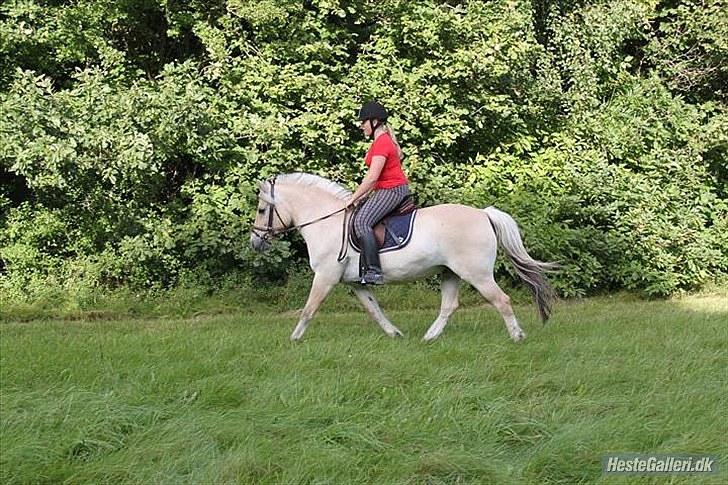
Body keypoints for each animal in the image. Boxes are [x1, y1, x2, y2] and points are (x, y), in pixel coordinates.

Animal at [252, 172, 556, 342]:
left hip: (476, 274)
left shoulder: (325, 277)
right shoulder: (356, 283)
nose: (255, 242)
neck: (327, 222)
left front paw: (294, 338)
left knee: (501, 300)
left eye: (261, 210)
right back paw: (429, 338)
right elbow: (374, 310)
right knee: (449, 306)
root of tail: (484, 213)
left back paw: (517, 336)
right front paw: (394, 334)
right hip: (450, 272)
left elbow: (309, 308)